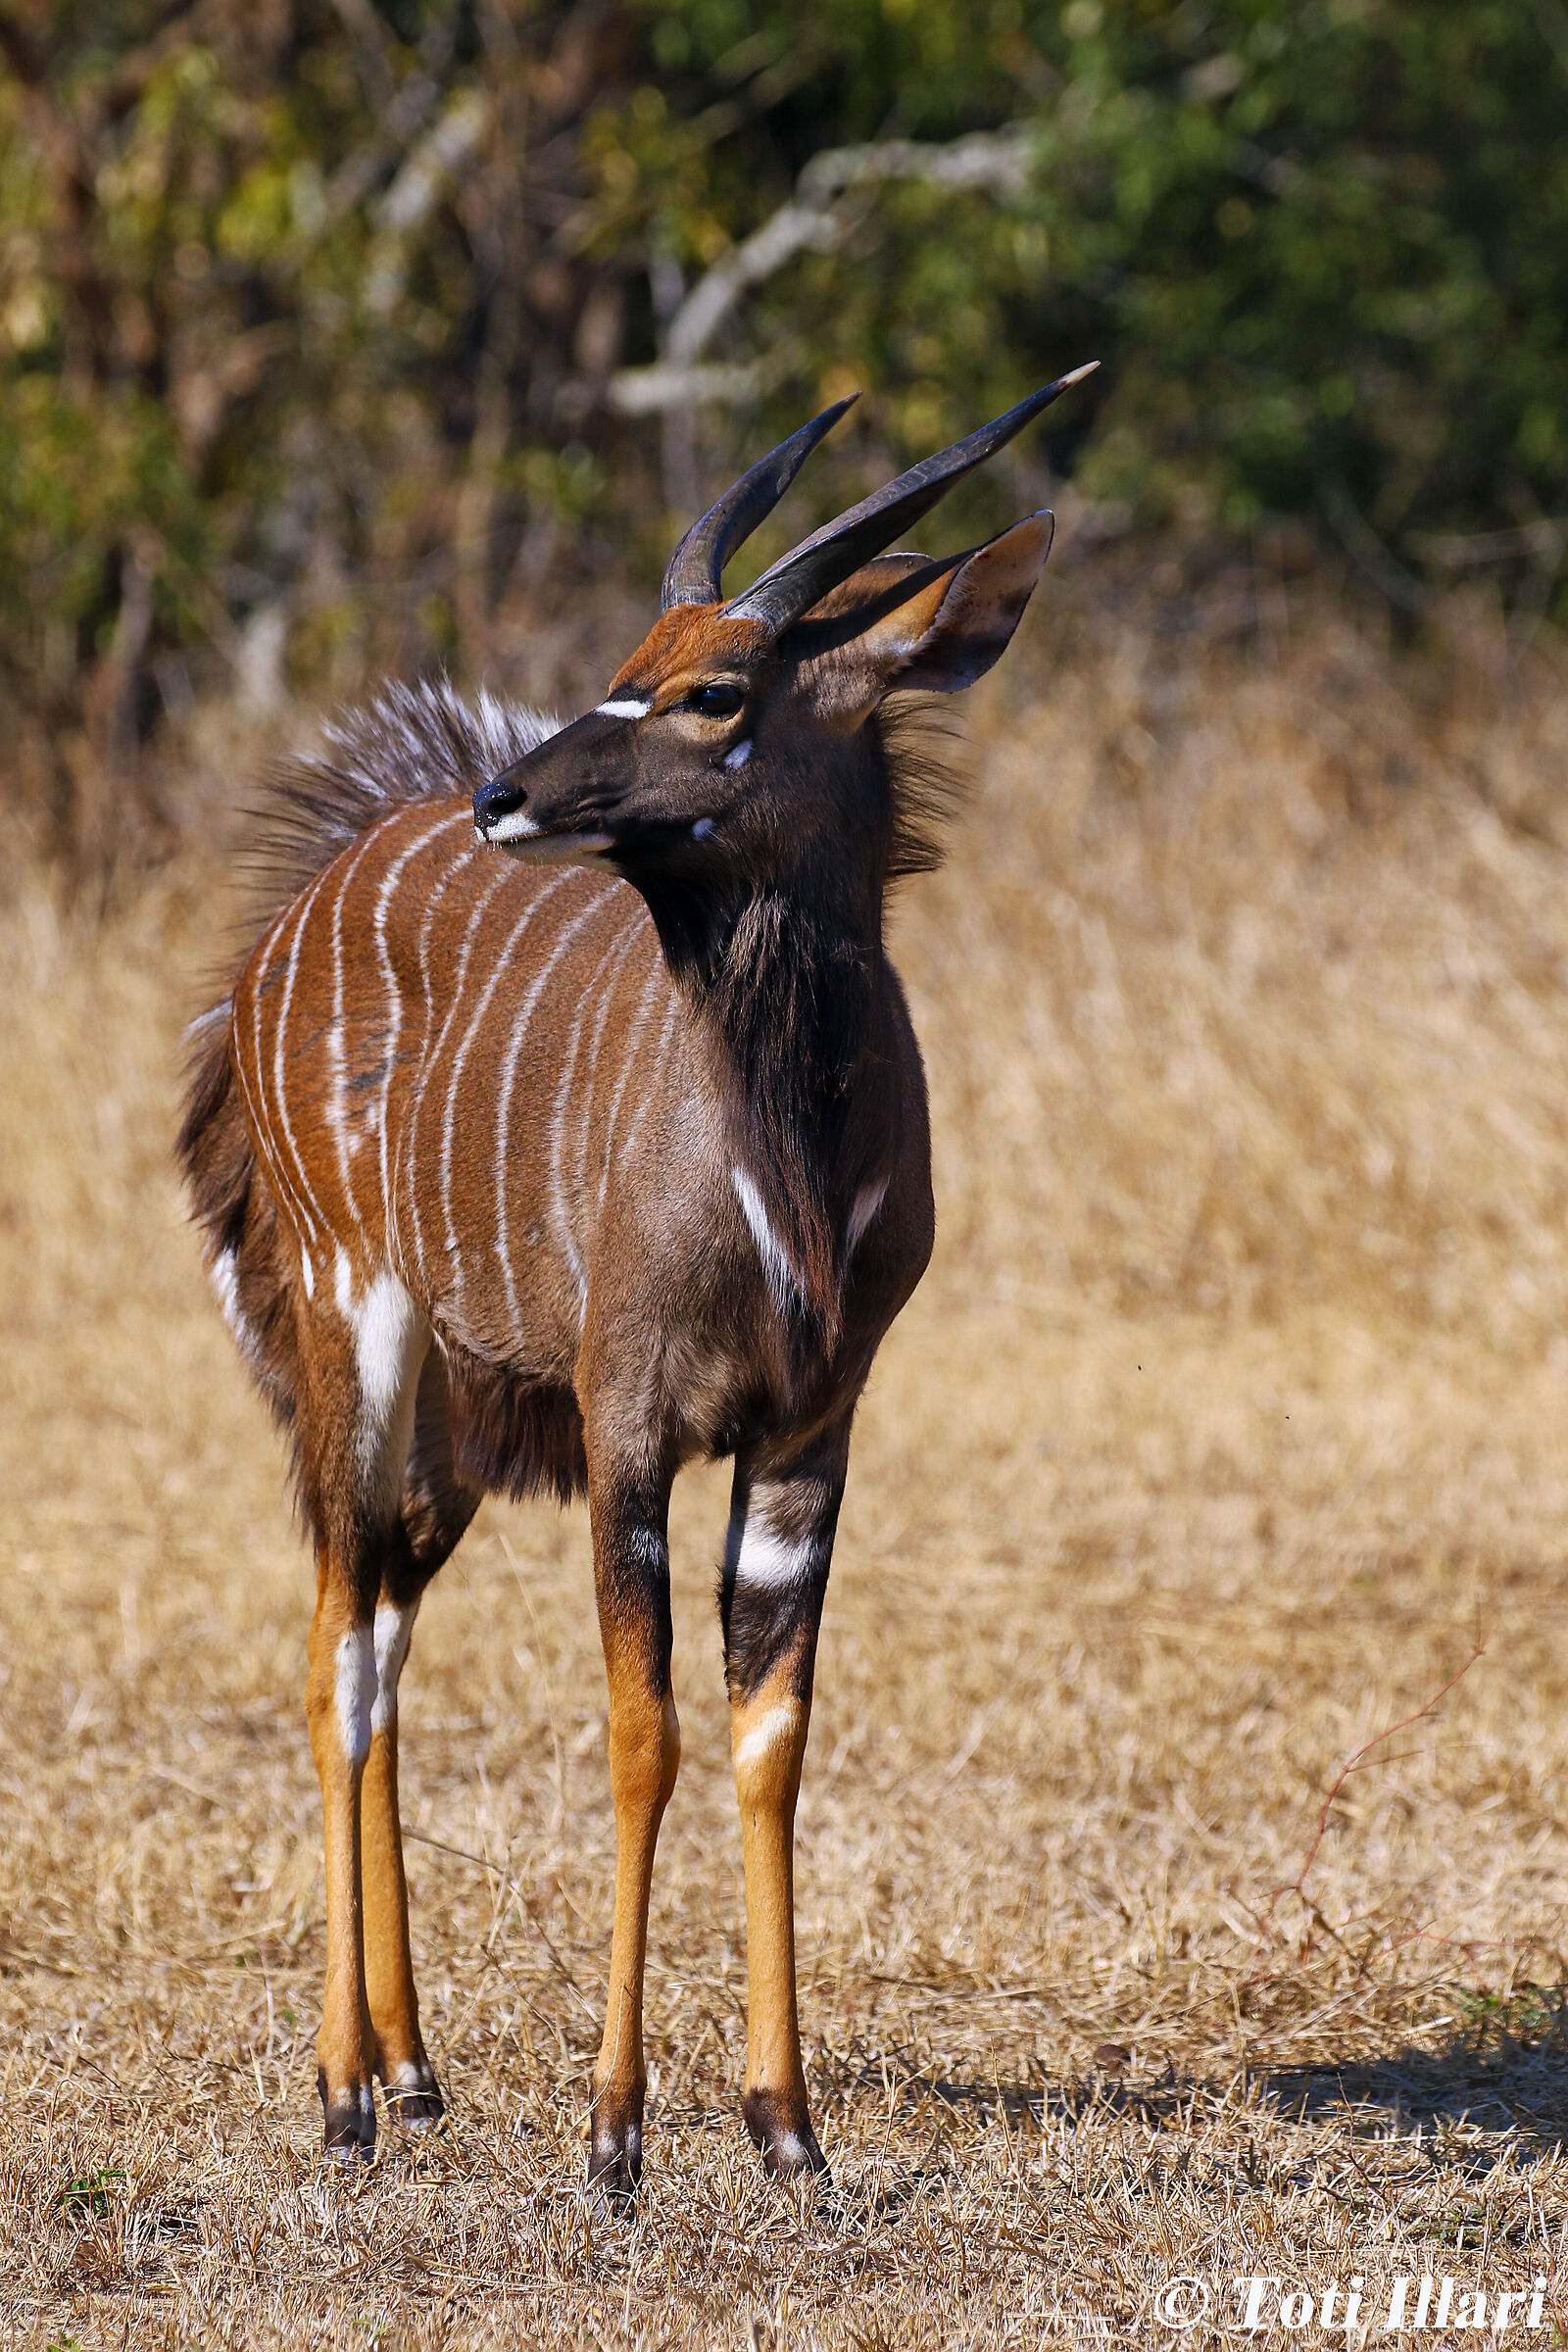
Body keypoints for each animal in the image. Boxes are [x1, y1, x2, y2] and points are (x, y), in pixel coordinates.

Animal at [179, 369, 1093, 2189]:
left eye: (713, 688)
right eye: (630, 652)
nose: (510, 797)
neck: (788, 1158)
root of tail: (293, 916)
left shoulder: (812, 1424)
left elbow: (769, 1737)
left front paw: (789, 2133)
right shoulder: (630, 1418)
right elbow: (639, 1731)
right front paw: (614, 2134)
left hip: (455, 1425)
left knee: (384, 1640)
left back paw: (416, 2070)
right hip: (348, 1326)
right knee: (333, 1655)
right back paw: (342, 2095)